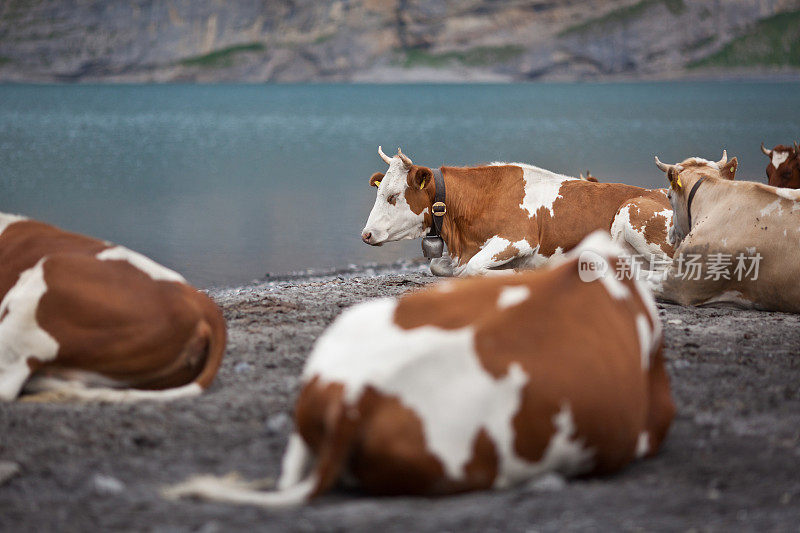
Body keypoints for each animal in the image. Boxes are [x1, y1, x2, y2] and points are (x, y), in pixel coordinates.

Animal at [360, 147, 672, 276]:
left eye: (392, 196)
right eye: (378, 191)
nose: (366, 234)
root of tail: (663, 191)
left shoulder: (517, 239)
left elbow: (472, 269)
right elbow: (439, 266)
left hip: (632, 213)